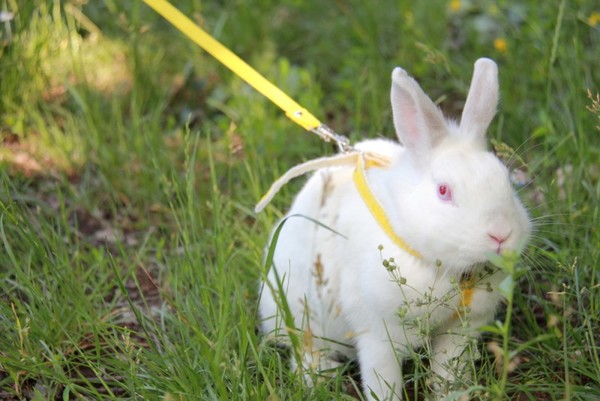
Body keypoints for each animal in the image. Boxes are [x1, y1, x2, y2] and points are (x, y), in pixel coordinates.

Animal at [258, 57, 528, 398]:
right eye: (443, 191)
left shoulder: (460, 330)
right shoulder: (378, 335)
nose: (501, 234)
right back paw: (320, 376)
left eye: (506, 179)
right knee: (302, 347)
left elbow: (449, 371)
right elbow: (382, 380)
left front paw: (454, 395)